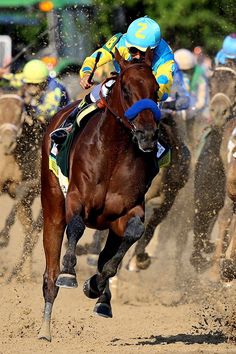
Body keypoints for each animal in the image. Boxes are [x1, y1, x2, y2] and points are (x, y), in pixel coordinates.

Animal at [38, 48, 163, 342]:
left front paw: (95, 285)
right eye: (126, 89)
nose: (148, 135)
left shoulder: (127, 211)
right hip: (52, 206)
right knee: (50, 275)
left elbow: (131, 236)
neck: (114, 153)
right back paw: (45, 330)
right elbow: (76, 226)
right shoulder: (76, 198)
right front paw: (69, 272)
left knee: (109, 252)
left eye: (156, 90)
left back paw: (103, 299)